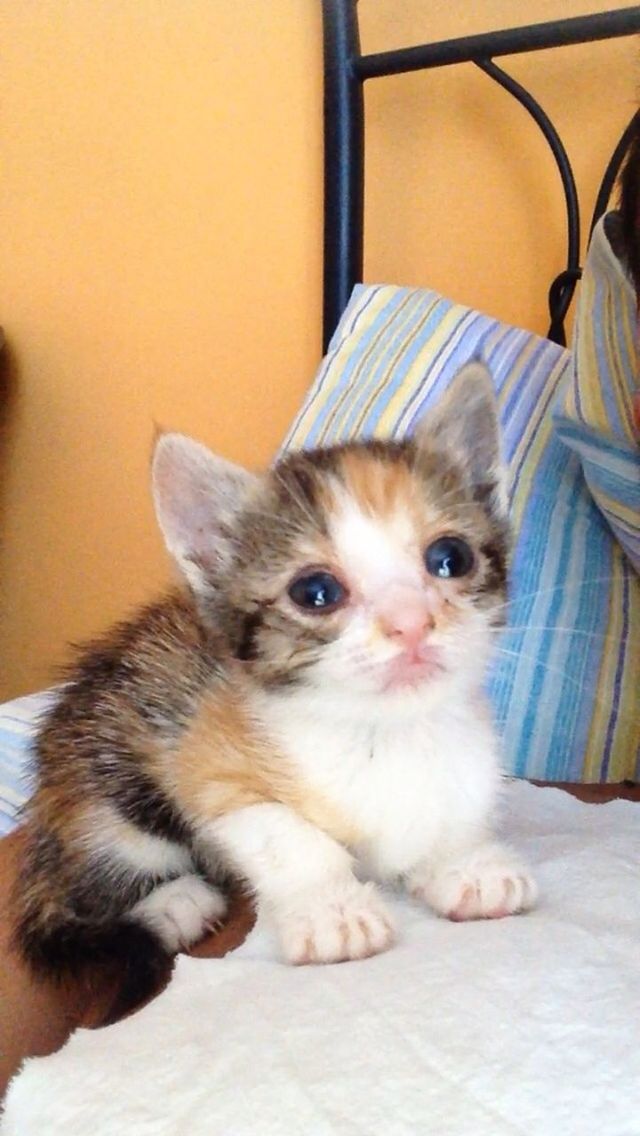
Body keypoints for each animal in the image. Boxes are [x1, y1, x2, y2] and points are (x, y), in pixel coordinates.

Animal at [12, 358, 538, 1017]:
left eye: (450, 557)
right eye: (316, 592)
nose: (412, 622)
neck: (383, 733)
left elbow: (453, 812)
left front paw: (465, 865)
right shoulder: (205, 759)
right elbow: (283, 834)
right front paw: (333, 909)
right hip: (110, 790)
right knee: (85, 889)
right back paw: (174, 903)